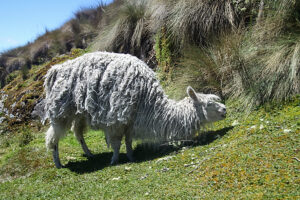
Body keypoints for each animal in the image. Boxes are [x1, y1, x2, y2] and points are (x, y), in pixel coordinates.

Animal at [41, 51, 225, 167]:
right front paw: (114, 160)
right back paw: (58, 163)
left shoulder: (130, 120)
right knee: (53, 138)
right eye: (209, 104)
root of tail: (54, 71)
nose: (224, 110)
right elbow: (116, 143)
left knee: (78, 133)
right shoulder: (116, 119)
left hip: (78, 113)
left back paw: (89, 153)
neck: (147, 101)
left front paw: (131, 156)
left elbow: (128, 141)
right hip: (60, 112)